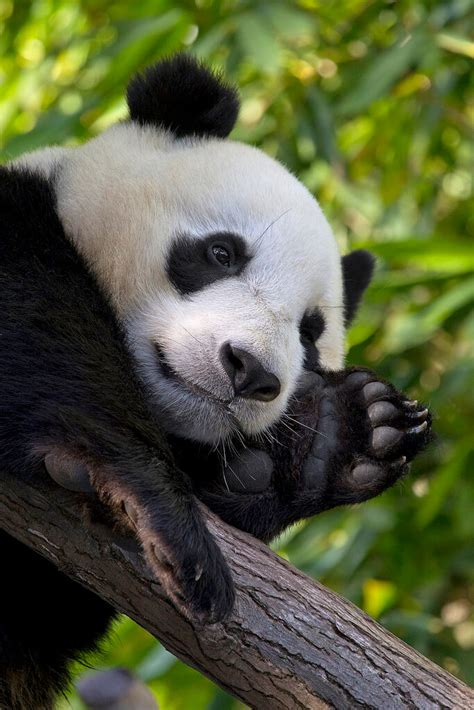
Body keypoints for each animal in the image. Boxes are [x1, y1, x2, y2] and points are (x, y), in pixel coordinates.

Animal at [0, 55, 431, 709]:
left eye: (309, 333)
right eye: (222, 252)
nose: (250, 371)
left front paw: (338, 437)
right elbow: (37, 321)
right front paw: (159, 505)